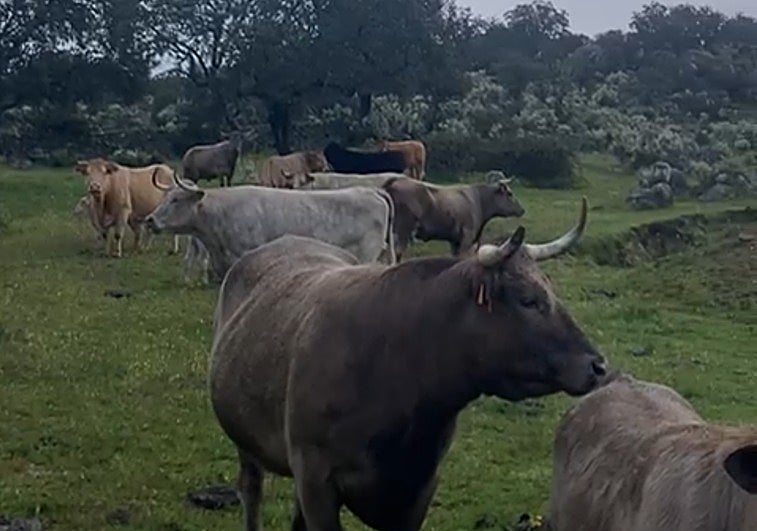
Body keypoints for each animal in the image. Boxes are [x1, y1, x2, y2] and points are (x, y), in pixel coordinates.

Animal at [208, 197, 607, 531]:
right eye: (528, 299)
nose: (597, 366)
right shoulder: (316, 480)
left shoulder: (418, 491)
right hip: (246, 442)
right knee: (251, 491)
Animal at [383, 176, 525, 261]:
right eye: (510, 193)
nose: (522, 210)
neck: (478, 200)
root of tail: (396, 181)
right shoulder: (466, 238)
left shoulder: (454, 241)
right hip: (403, 231)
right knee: (397, 253)